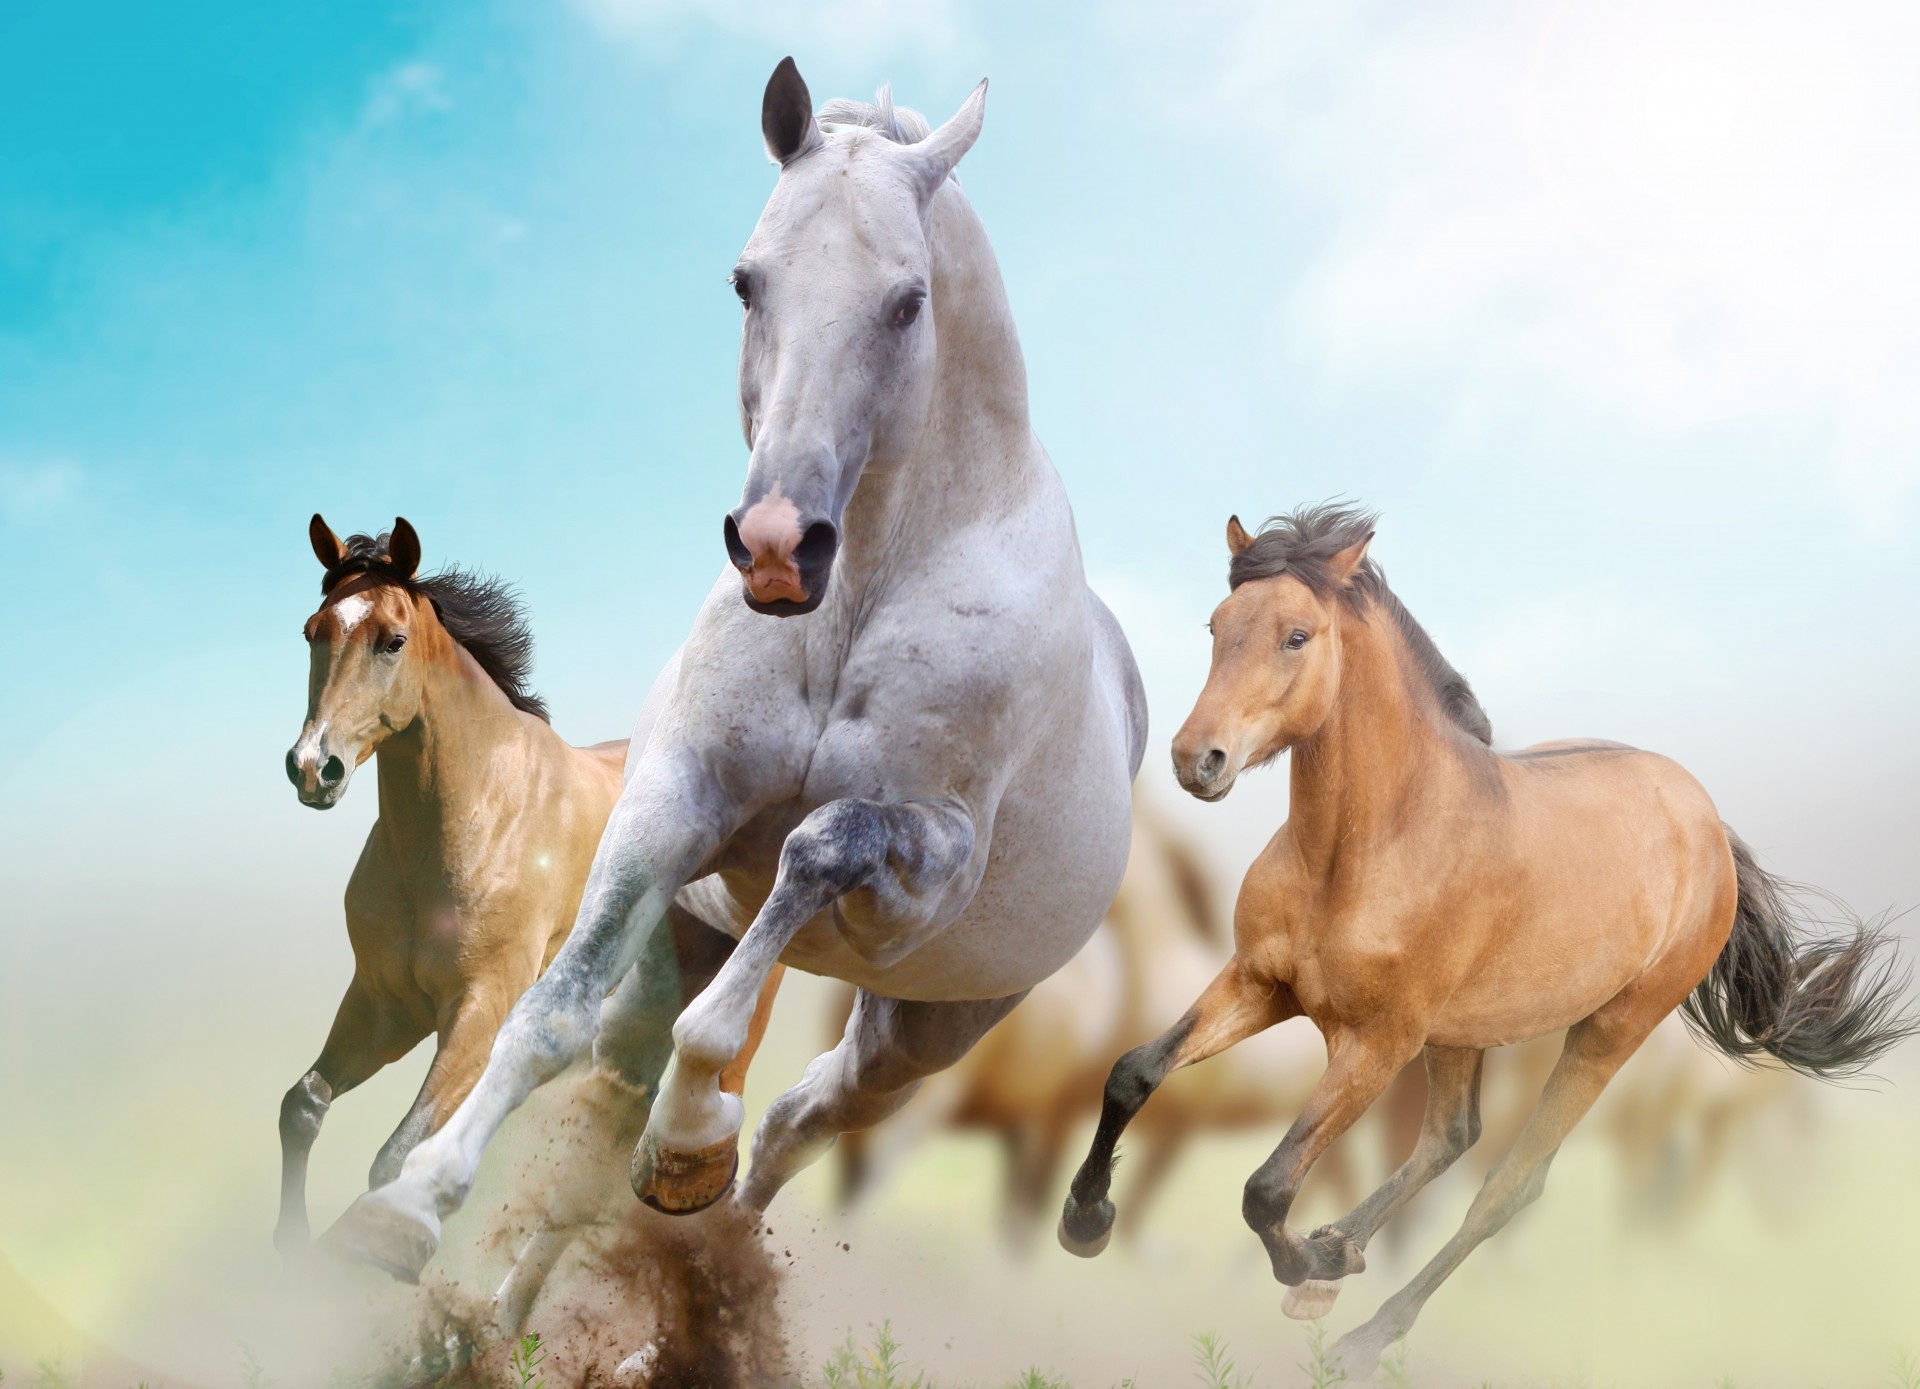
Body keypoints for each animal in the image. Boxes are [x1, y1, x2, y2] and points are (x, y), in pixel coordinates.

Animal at [279, 517, 782, 1330]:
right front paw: (288, 1257)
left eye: (392, 639)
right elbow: (304, 1106)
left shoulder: (479, 1011)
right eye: (312, 631)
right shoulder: (385, 1004)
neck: (477, 815)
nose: (312, 767)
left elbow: (395, 1154)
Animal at [322, 59, 1145, 1284]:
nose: (774, 546)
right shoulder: (675, 801)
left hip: (925, 1028)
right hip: (693, 935)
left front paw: (691, 1130)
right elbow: (551, 1014)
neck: (859, 598)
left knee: (806, 1117)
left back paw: (699, 1208)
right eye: (748, 283)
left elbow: (815, 852)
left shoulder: (922, 870)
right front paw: (408, 1207)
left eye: (908, 302)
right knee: (614, 1104)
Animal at [1059, 503, 1911, 1376]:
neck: (1365, 847)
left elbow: (1267, 1185)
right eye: (1217, 624)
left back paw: (1363, 1329)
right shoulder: (1261, 983)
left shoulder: (1377, 1042)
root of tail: (1707, 823)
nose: (1197, 758)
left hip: (1605, 1034)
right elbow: (1133, 1072)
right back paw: (1340, 1258)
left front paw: (1307, 1259)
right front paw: (1086, 1220)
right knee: (1451, 1136)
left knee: (1509, 1182)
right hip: (1463, 1032)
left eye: (1297, 634)